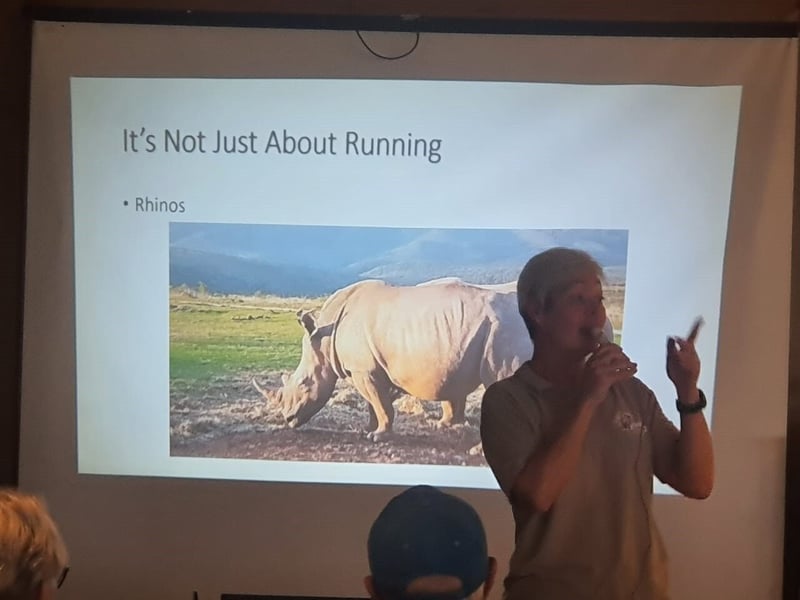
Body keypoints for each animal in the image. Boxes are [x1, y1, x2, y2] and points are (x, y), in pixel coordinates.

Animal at [253, 278, 612, 441]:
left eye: (304, 383)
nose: (287, 420)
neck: (324, 337)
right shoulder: (369, 368)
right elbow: (375, 401)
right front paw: (370, 429)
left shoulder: (365, 369)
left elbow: (380, 402)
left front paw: (378, 435)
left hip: (510, 332)